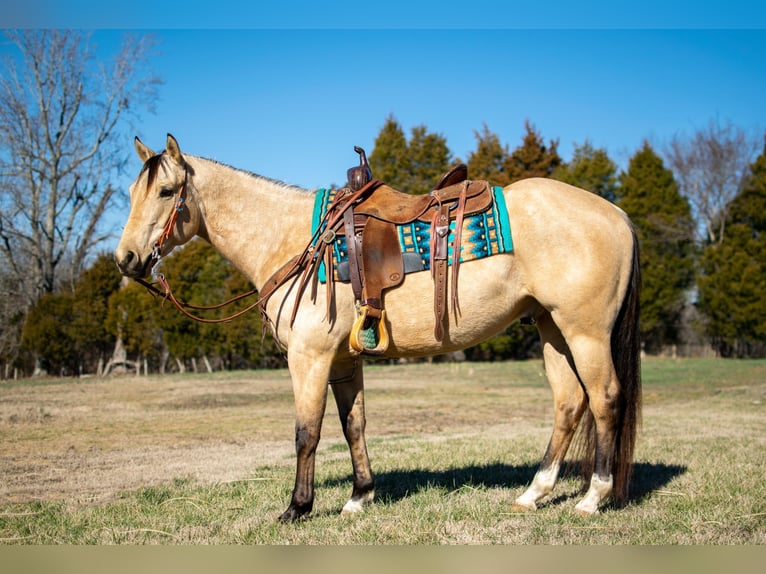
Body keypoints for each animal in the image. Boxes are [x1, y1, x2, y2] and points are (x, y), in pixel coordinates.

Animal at [114, 134, 640, 520]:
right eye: (131, 193)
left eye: (165, 192)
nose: (126, 259)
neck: (292, 237)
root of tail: (616, 213)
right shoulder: (344, 361)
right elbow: (354, 426)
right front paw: (359, 496)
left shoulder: (309, 358)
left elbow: (306, 431)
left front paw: (297, 508)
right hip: (551, 328)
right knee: (569, 403)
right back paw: (534, 493)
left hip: (584, 332)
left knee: (604, 399)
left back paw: (592, 498)